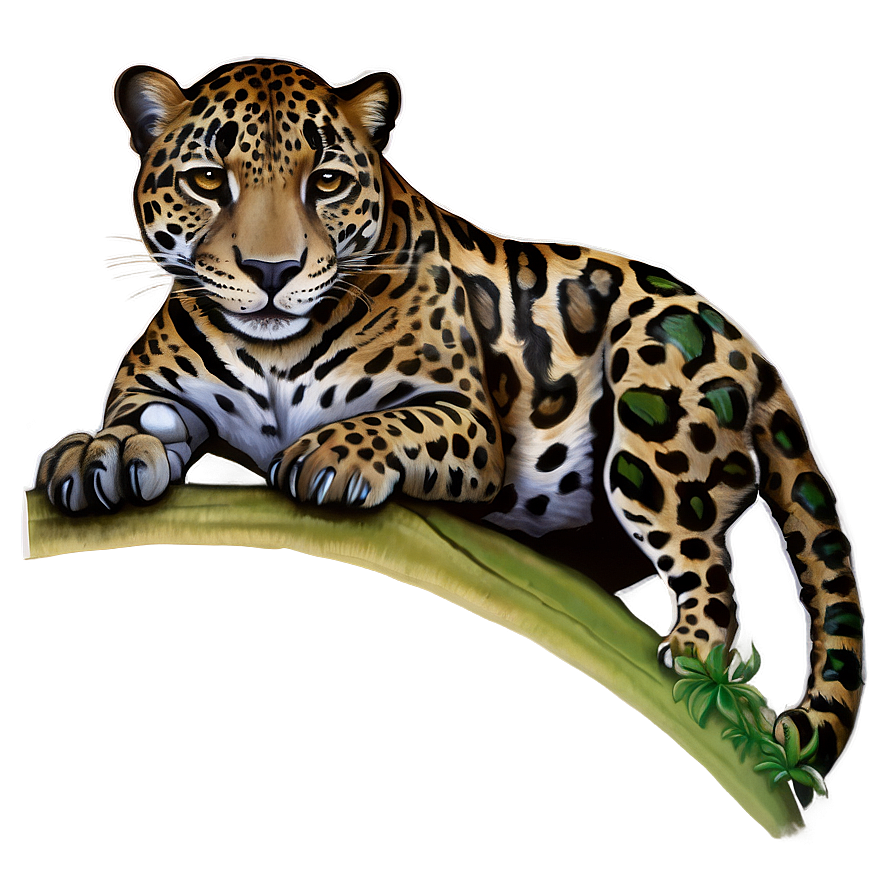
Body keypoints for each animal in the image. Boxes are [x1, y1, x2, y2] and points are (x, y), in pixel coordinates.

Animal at [35, 58, 863, 785]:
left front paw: (329, 456)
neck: (275, 351)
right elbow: (137, 421)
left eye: (326, 182)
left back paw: (692, 651)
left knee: (707, 564)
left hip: (652, 413)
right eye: (209, 180)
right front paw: (96, 455)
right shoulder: (161, 392)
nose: (272, 271)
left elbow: (393, 423)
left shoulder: (467, 417)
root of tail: (749, 347)